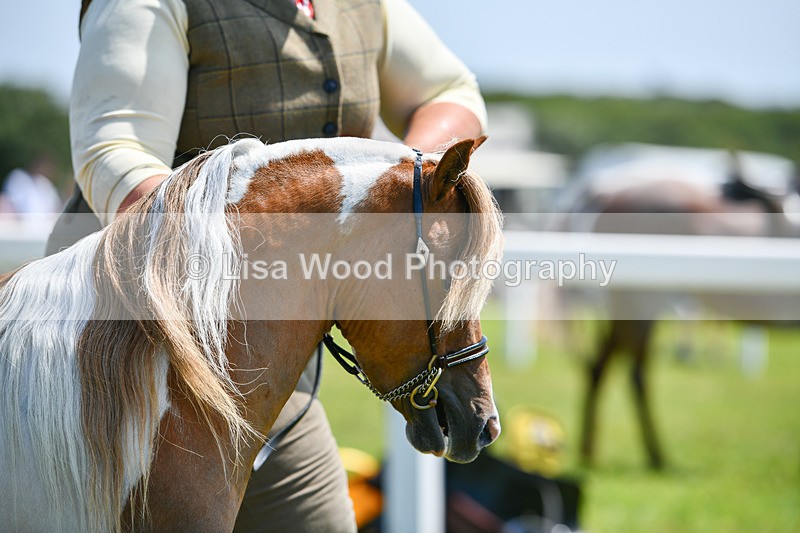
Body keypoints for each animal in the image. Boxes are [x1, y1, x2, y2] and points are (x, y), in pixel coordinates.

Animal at [557, 146, 799, 469]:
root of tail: (608, 194)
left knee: (601, 365)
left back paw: (592, 450)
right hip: (642, 303)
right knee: (635, 374)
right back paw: (657, 456)